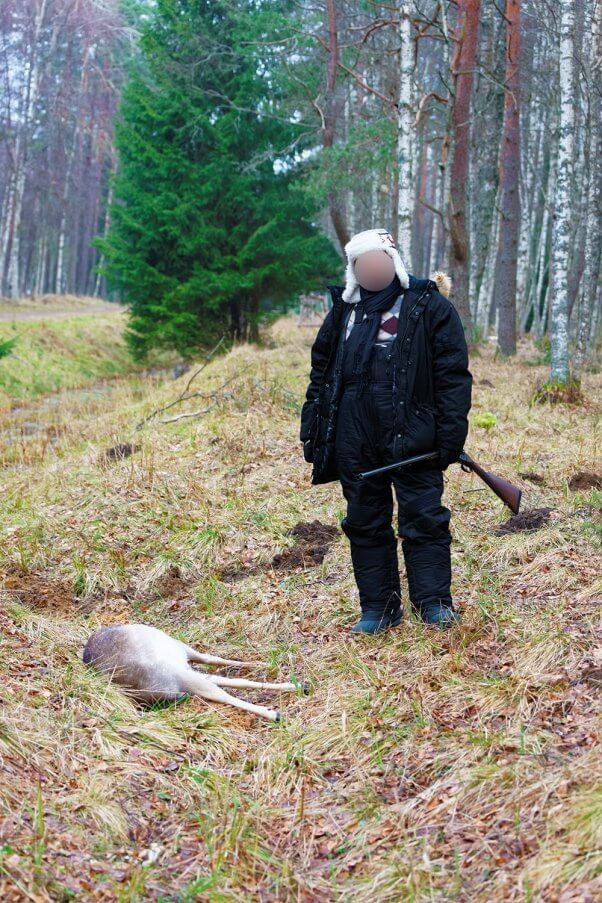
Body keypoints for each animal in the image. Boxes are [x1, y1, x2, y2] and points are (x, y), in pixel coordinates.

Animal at [81, 624, 304, 724]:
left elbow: (222, 693)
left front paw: (274, 713)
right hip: (181, 664)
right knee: (217, 671)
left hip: (177, 650)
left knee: (211, 663)